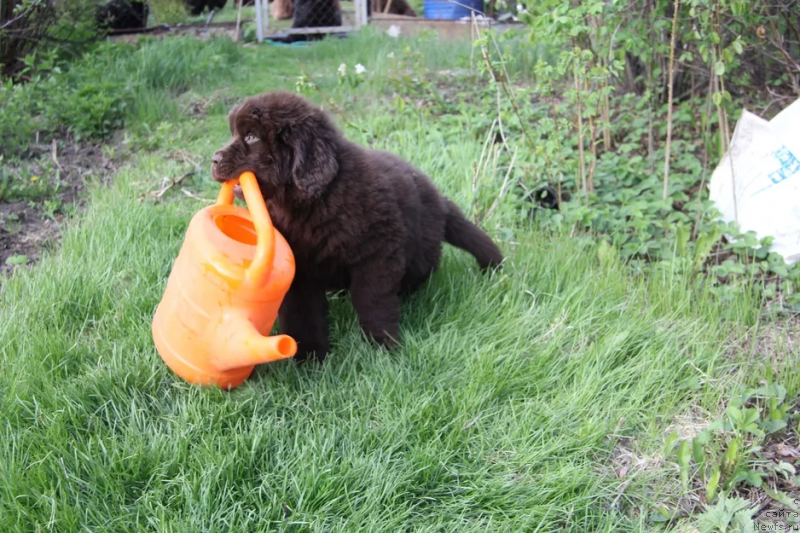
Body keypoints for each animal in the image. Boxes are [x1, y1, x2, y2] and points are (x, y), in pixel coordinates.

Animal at [209, 91, 504, 362]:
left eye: (251, 137)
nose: (213, 159)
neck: (314, 201)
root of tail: (438, 197)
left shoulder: (377, 256)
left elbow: (372, 301)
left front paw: (383, 347)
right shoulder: (298, 269)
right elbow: (302, 312)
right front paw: (309, 358)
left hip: (419, 251)